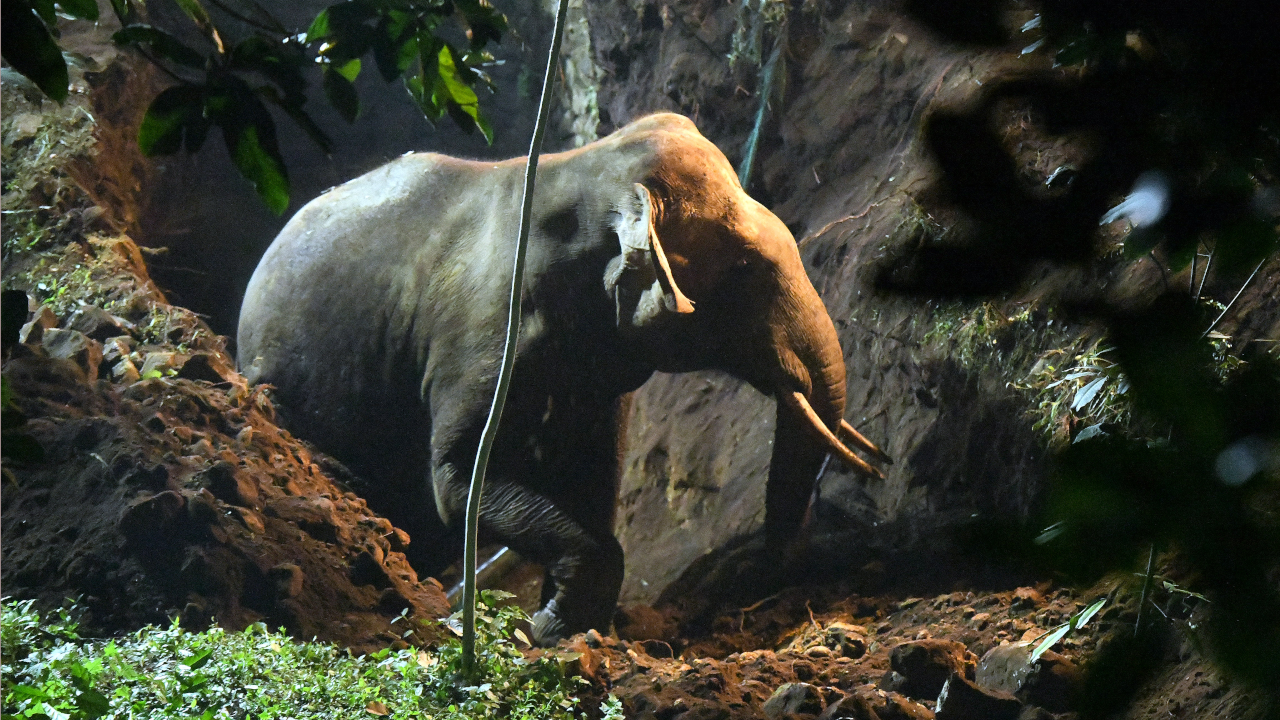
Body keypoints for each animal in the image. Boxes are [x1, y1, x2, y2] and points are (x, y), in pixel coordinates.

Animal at [237, 113, 889, 644]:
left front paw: (566, 625)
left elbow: (595, 481)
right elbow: (457, 481)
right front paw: (548, 628)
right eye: (745, 270)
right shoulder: (481, 336)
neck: (584, 168)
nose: (881, 468)